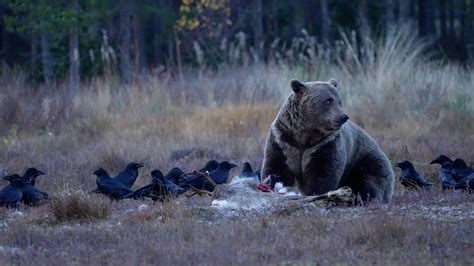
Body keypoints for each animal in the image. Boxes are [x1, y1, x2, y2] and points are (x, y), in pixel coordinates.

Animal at [262, 78, 394, 202]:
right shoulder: (283, 141)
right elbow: (277, 169)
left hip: (367, 163)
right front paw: (272, 185)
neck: (304, 136)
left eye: (339, 101)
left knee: (370, 185)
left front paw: (316, 193)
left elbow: (323, 173)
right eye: (328, 100)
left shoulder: (326, 144)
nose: (343, 116)